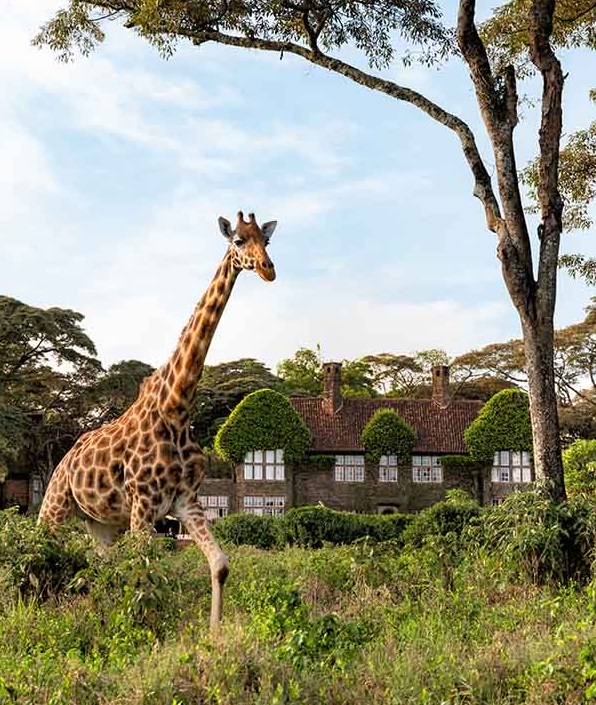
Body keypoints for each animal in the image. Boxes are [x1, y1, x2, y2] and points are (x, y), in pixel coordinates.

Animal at [38, 211, 278, 630]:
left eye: (267, 241)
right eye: (238, 241)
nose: (268, 270)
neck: (177, 406)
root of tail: (65, 458)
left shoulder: (184, 500)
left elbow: (219, 565)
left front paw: (213, 636)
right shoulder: (144, 504)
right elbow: (142, 572)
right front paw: (138, 630)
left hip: (101, 523)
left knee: (99, 564)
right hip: (55, 505)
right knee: (38, 551)